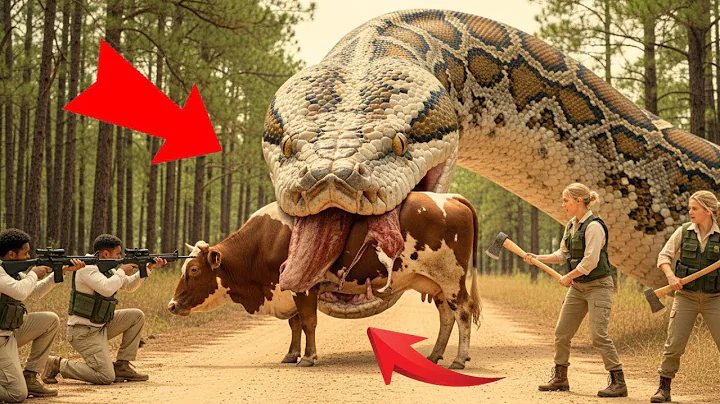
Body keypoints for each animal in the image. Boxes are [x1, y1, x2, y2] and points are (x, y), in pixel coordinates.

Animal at [168, 192, 481, 369]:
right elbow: (295, 325)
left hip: (451, 279)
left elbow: (308, 322)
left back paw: (458, 360)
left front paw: (308, 357)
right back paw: (435, 356)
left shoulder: (305, 288)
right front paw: (291, 354)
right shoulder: (288, 290)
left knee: (463, 313)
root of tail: (451, 198)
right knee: (446, 317)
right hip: (436, 284)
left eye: (193, 270)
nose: (171, 305)